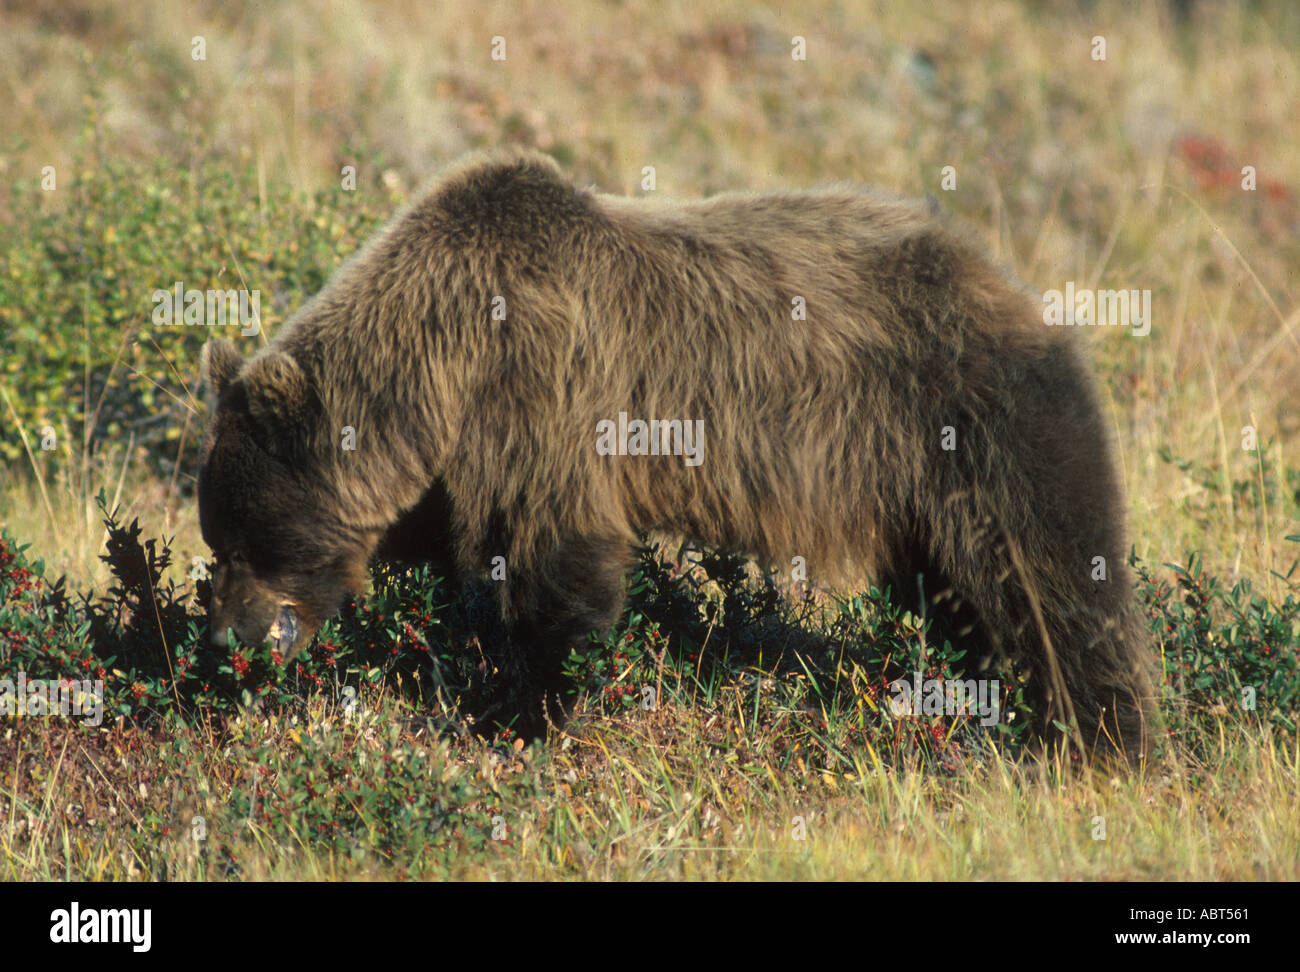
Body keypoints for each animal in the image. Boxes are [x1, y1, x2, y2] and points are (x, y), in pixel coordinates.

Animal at [195, 150, 1159, 758]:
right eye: (217, 542)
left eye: (242, 541)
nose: (228, 643)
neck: (444, 356)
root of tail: (1017, 289)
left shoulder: (539, 395)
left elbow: (557, 568)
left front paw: (523, 717)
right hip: (922, 492)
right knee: (964, 598)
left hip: (980, 425)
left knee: (1051, 577)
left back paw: (1097, 741)